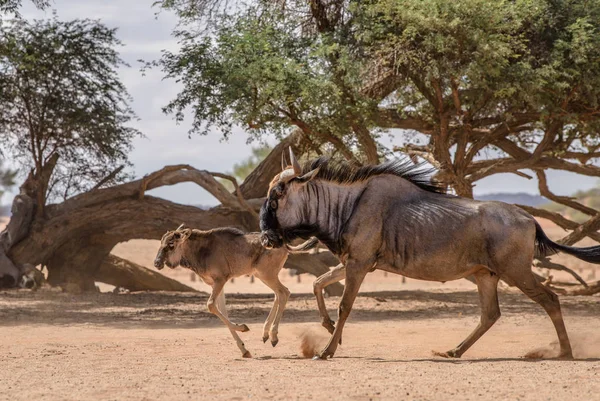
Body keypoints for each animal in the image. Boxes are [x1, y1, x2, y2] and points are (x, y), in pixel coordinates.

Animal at [152, 223, 316, 358]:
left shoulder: (220, 280)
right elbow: (222, 310)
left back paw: (273, 336)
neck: (201, 250)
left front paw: (243, 327)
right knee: (279, 294)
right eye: (161, 242)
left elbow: (211, 306)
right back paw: (265, 334)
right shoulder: (217, 285)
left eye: (171, 244)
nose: (157, 263)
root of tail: (284, 246)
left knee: (284, 292)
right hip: (264, 275)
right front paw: (244, 349)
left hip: (266, 275)